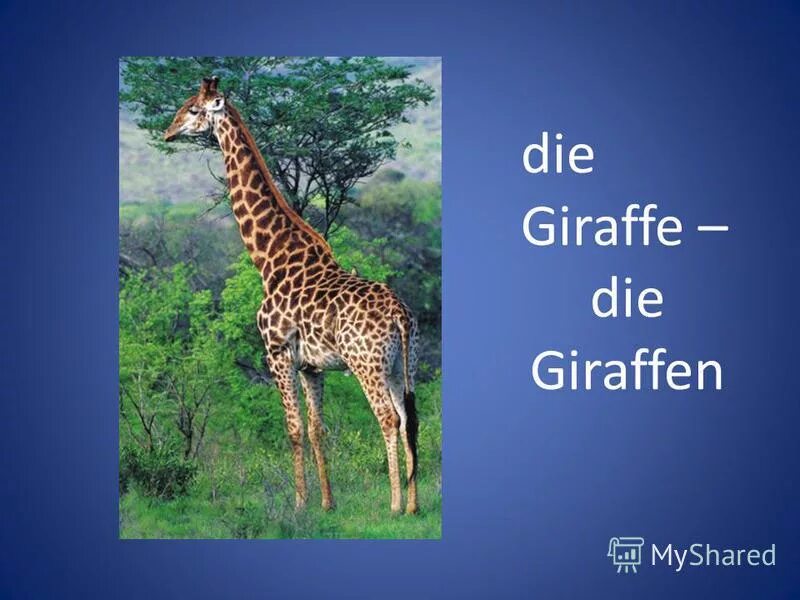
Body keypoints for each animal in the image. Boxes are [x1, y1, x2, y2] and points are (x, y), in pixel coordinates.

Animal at [163, 76, 419, 514]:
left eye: (193, 109)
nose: (168, 131)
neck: (270, 259)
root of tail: (400, 316)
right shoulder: (311, 366)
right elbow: (318, 429)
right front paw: (328, 503)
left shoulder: (276, 351)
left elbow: (294, 428)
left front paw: (300, 504)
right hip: (404, 364)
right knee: (411, 417)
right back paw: (417, 504)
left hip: (366, 364)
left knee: (388, 418)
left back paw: (395, 505)